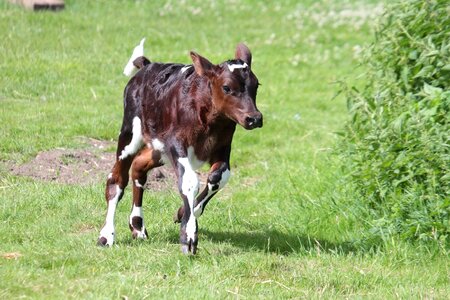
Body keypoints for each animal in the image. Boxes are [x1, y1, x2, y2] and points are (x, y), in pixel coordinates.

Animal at [96, 38, 262, 254]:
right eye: (226, 87)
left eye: (256, 85)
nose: (254, 118)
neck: (210, 120)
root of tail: (148, 65)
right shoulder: (176, 143)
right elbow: (190, 180)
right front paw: (189, 236)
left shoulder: (223, 145)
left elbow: (220, 176)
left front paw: (184, 212)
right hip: (130, 133)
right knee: (116, 180)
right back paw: (107, 235)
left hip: (158, 149)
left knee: (139, 166)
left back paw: (138, 226)